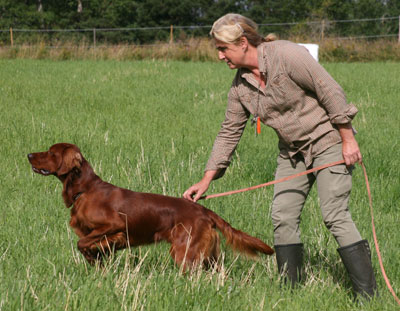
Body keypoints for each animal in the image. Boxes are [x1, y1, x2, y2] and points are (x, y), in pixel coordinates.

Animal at [26, 144, 274, 270]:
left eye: (50, 152)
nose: (28, 154)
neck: (85, 189)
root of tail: (204, 211)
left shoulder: (115, 224)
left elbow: (82, 242)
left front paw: (92, 255)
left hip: (185, 251)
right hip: (206, 254)